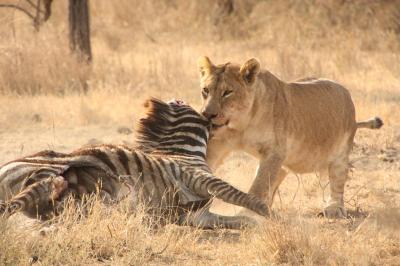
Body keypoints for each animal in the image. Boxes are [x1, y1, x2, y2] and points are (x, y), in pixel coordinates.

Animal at [0, 97, 268, 229]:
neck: (183, 151)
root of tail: (5, 168)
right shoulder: (197, 176)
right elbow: (240, 195)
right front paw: (272, 216)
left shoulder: (198, 217)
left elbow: (244, 222)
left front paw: (259, 224)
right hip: (51, 167)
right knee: (38, 189)